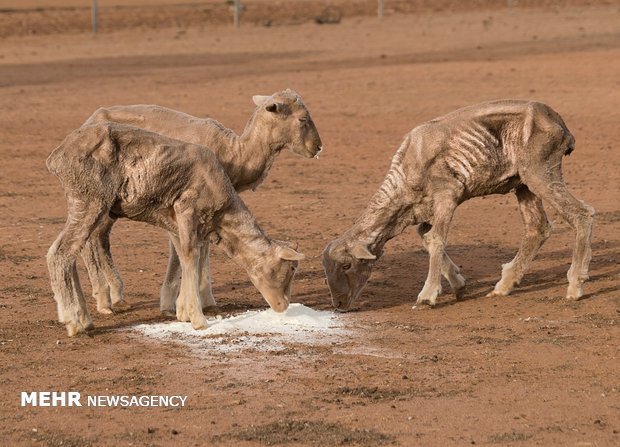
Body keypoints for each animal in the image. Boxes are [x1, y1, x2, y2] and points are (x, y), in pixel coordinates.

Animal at [46, 121, 306, 336]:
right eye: (291, 267)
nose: (283, 305)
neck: (223, 218)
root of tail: (56, 156)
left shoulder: (174, 221)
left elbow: (183, 255)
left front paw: (182, 312)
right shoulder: (186, 208)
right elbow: (191, 255)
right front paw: (198, 319)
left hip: (85, 202)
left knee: (71, 252)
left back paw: (84, 318)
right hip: (90, 199)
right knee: (60, 253)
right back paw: (73, 321)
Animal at [79, 89, 322, 316]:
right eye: (302, 119)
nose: (318, 147)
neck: (236, 153)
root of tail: (88, 122)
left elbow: (200, 247)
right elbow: (190, 250)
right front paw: (188, 301)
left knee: (99, 237)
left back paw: (116, 295)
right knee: (90, 239)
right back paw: (104, 300)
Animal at [322, 100, 592, 312]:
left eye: (347, 265)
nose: (339, 306)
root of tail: (560, 124)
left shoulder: (447, 195)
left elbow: (436, 240)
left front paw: (427, 296)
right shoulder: (423, 211)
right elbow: (426, 238)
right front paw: (459, 285)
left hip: (540, 171)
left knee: (582, 214)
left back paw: (575, 284)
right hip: (523, 183)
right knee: (538, 228)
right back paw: (503, 286)